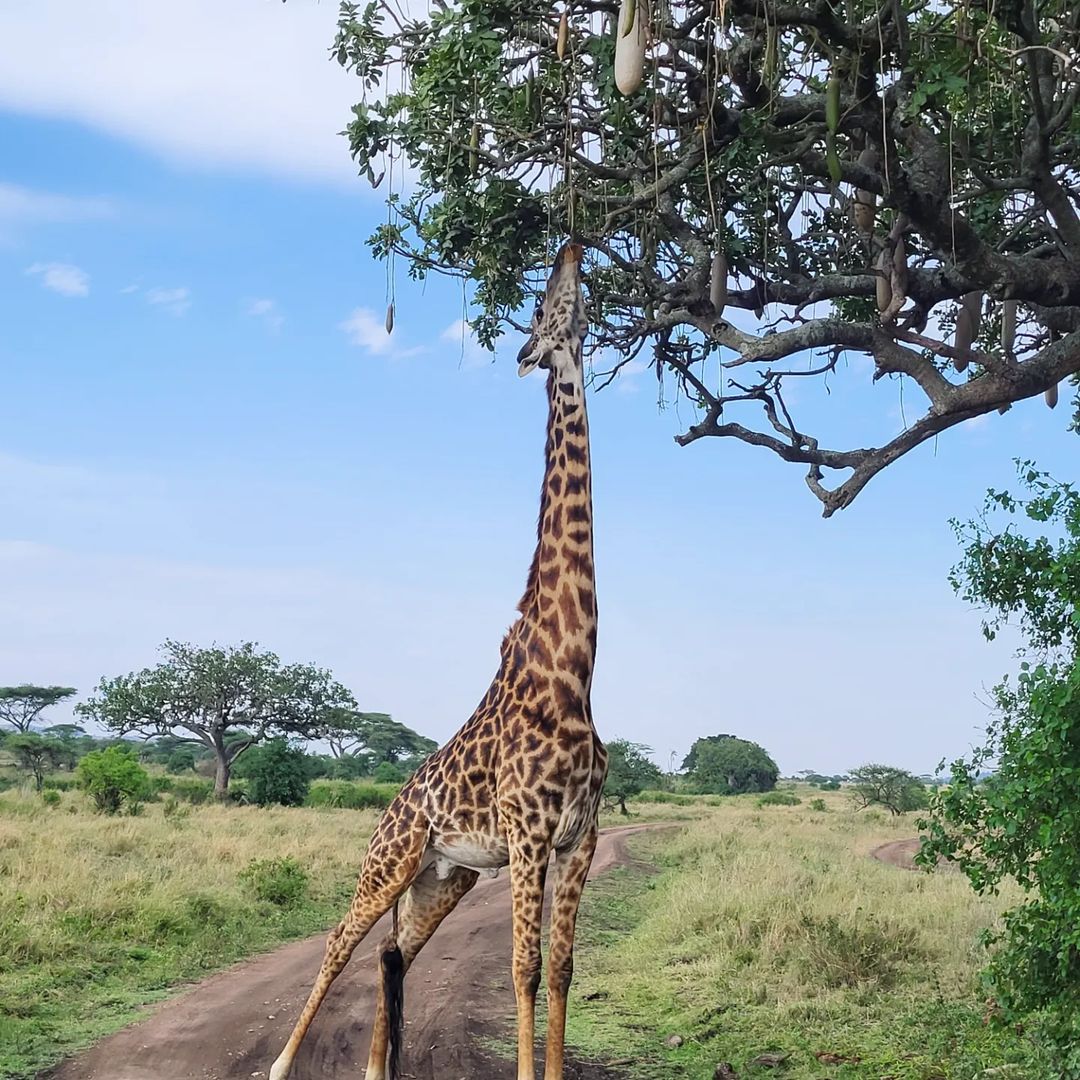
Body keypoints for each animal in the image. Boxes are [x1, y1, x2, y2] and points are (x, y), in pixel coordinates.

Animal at [270, 243, 609, 1080]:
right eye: (543, 305)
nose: (571, 248)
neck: (574, 673)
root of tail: (395, 802)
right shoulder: (528, 834)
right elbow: (523, 968)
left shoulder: (578, 837)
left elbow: (562, 968)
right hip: (390, 860)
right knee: (340, 940)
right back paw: (281, 1064)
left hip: (443, 877)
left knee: (395, 952)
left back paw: (373, 1070)